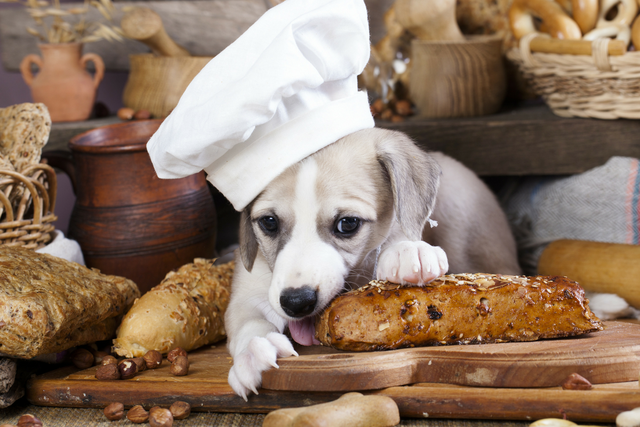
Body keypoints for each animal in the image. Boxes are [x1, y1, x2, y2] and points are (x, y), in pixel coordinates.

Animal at [225, 128, 520, 402]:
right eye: (269, 222)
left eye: (347, 224)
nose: (297, 302)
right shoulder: (250, 287)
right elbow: (248, 318)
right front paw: (255, 347)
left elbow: (400, 230)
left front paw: (408, 250)